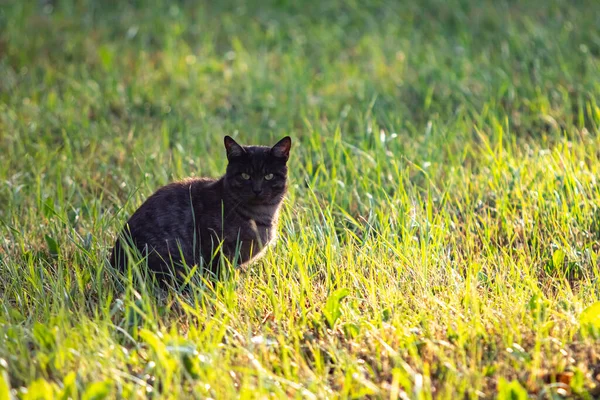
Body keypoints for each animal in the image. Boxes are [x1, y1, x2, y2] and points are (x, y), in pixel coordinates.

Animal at [110, 136, 292, 286]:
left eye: (269, 176)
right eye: (245, 175)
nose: (257, 190)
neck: (259, 216)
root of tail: (115, 266)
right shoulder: (215, 247)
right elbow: (219, 274)